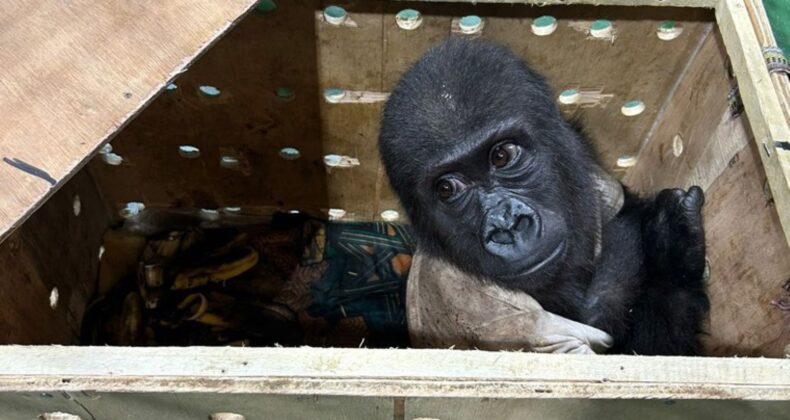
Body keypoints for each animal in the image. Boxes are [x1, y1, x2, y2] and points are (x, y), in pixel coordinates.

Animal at [378, 38, 712, 354]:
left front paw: (672, 246)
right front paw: (672, 252)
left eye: (502, 156)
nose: (507, 225)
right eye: (447, 189)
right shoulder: (482, 307)